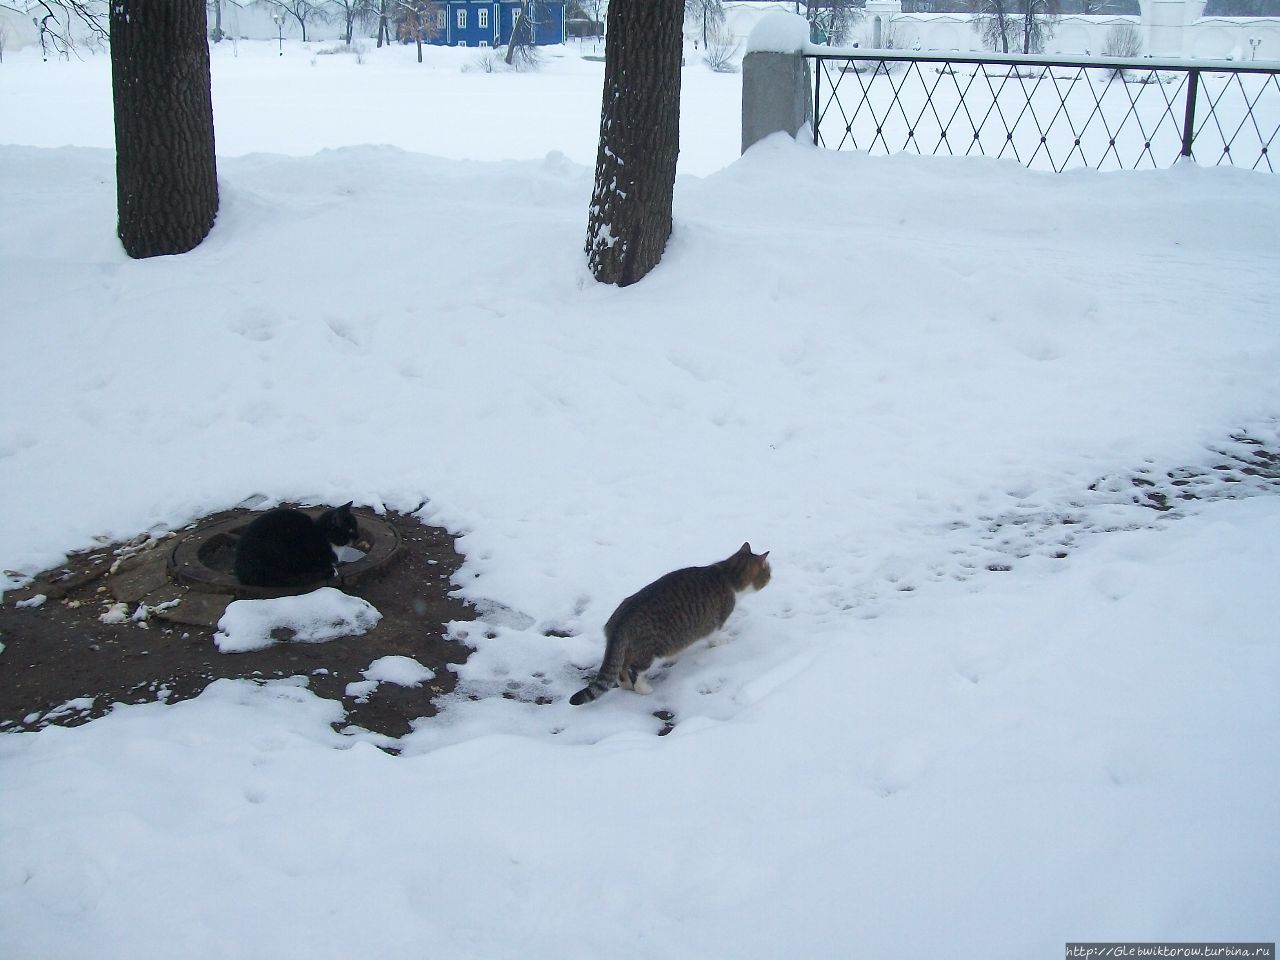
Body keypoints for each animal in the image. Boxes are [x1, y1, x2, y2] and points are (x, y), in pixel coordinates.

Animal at [570, 542, 768, 706]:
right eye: (768, 571)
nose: (771, 577)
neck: (728, 574)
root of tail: (619, 622)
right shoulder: (717, 620)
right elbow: (715, 636)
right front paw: (722, 641)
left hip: (627, 650)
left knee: (621, 669)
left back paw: (625, 685)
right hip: (651, 652)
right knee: (636, 671)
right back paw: (643, 689)